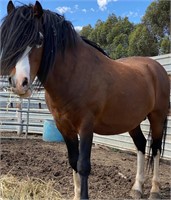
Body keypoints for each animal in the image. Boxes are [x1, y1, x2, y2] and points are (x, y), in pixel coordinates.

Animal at [0, 1, 170, 198]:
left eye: (40, 40)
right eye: (9, 39)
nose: (19, 83)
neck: (74, 74)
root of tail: (156, 68)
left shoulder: (86, 126)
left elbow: (83, 165)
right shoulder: (64, 127)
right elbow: (73, 161)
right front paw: (76, 195)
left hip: (157, 117)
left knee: (156, 149)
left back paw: (155, 190)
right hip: (132, 121)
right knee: (141, 145)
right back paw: (137, 188)